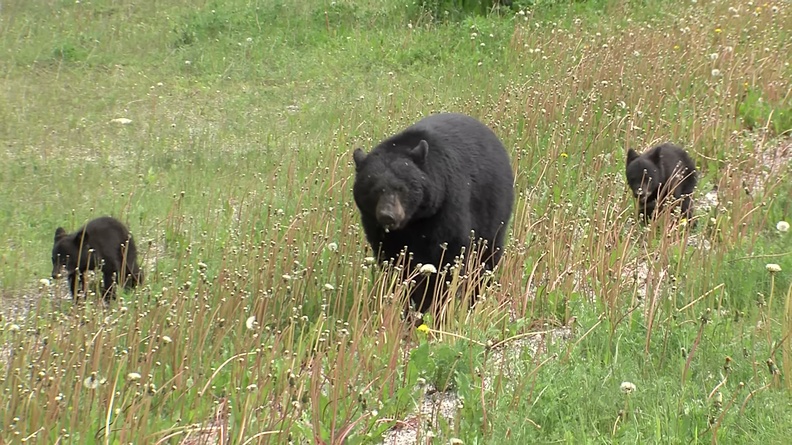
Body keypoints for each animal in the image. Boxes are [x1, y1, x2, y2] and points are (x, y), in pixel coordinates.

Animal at [352, 113, 515, 313]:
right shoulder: (379, 230)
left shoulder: (447, 209)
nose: (387, 215)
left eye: (401, 188)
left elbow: (447, 259)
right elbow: (394, 260)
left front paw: (433, 304)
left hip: (494, 210)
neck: (413, 221)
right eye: (374, 189)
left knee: (487, 255)